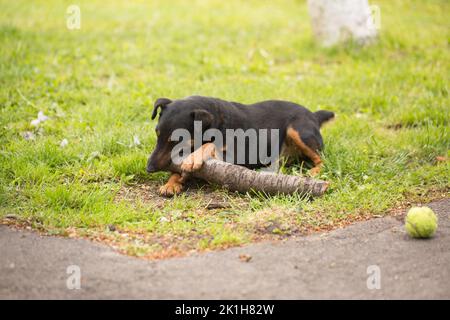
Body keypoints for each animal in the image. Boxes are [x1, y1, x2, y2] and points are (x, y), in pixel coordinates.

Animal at [146, 95, 332, 196]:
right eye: (157, 133)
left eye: (177, 140)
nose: (149, 168)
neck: (216, 121)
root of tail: (314, 115)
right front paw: (171, 183)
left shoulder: (237, 155)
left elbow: (211, 145)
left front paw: (193, 158)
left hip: (298, 130)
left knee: (322, 159)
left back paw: (314, 171)